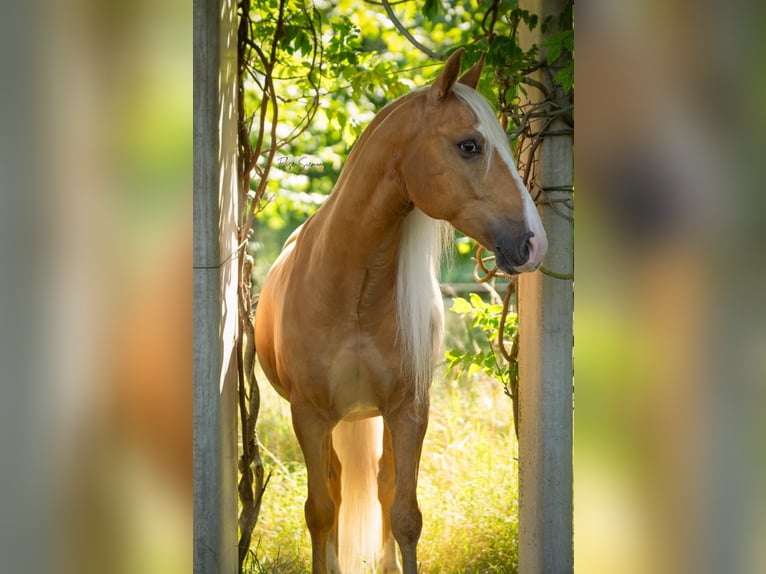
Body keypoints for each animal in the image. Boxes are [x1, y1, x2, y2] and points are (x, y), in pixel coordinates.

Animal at [256, 50, 544, 574]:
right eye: (469, 145)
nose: (535, 243)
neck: (350, 291)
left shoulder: (409, 411)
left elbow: (405, 513)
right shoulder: (308, 415)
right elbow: (320, 511)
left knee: (382, 482)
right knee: (335, 487)